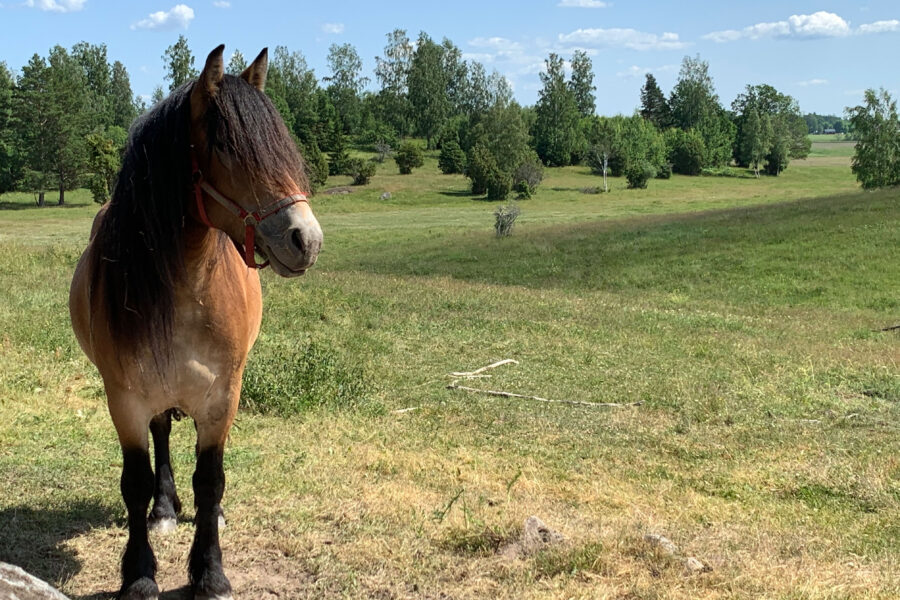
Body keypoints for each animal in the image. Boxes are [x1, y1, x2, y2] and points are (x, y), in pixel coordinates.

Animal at [70, 45, 324, 600]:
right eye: (227, 147)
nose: (307, 240)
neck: (186, 290)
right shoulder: (125, 399)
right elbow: (135, 482)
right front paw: (139, 573)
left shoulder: (222, 397)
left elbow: (211, 480)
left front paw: (210, 571)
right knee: (163, 436)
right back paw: (164, 510)